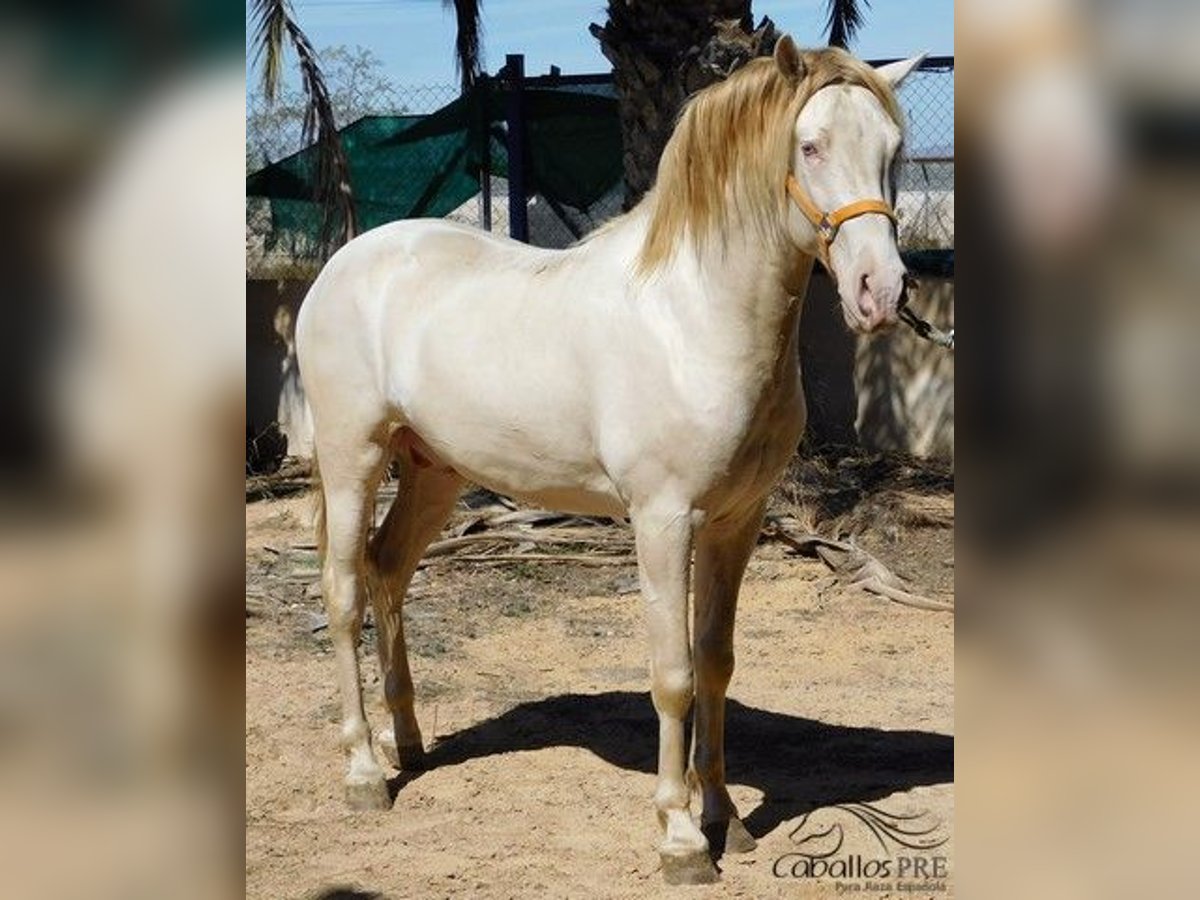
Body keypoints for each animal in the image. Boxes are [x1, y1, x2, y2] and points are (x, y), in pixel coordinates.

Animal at [295, 37, 921, 888]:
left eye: (893, 151)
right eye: (811, 146)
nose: (879, 292)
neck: (691, 320)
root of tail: (342, 266)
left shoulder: (737, 522)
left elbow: (715, 661)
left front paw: (726, 817)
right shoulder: (662, 521)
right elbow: (674, 676)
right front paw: (681, 840)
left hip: (434, 469)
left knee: (389, 570)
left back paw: (411, 743)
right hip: (352, 455)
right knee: (343, 592)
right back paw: (364, 772)